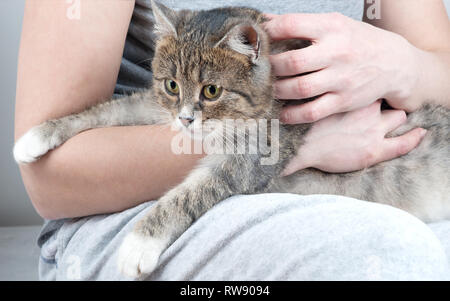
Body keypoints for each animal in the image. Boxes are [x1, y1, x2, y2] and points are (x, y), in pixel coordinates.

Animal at [12, 0, 448, 278]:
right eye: (172, 84)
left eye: (211, 91)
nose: (187, 120)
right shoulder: (158, 107)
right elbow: (112, 110)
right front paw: (38, 134)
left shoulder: (251, 157)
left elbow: (188, 194)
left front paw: (140, 243)